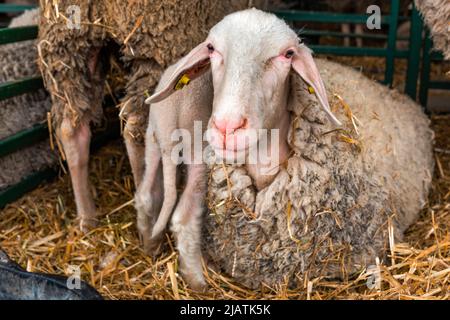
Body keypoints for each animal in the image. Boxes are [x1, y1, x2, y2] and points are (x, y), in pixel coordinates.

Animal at [37, 0, 266, 231]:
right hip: (153, 48)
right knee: (134, 132)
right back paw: (147, 218)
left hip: (66, 48)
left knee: (71, 130)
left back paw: (87, 217)